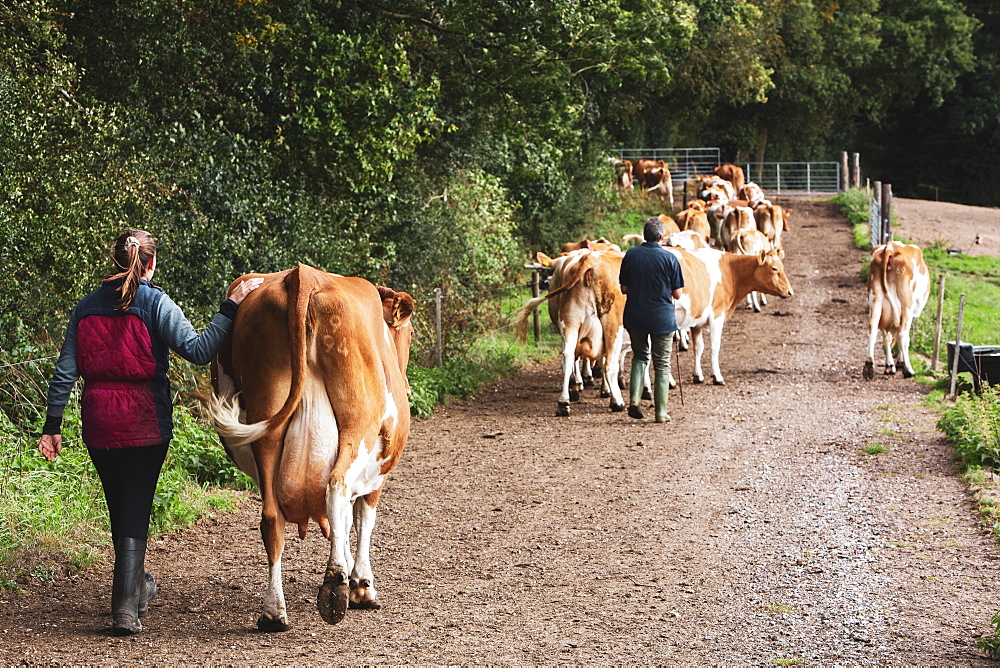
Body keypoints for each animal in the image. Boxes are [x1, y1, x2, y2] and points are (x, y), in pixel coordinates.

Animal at [205, 262, 412, 632]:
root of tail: (303, 275)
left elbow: (345, 520)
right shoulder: (378, 472)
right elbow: (363, 518)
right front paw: (361, 585)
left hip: (266, 427)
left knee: (271, 518)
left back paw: (274, 613)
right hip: (358, 424)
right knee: (337, 485)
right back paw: (334, 587)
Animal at [516, 250, 624, 414]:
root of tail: (590, 258)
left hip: (570, 322)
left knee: (567, 356)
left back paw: (564, 401)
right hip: (613, 324)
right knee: (609, 364)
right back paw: (617, 402)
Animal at [668, 248, 792, 384]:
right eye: (774, 268)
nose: (790, 291)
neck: (730, 270)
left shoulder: (697, 319)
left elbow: (698, 347)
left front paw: (698, 375)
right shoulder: (717, 314)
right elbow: (715, 346)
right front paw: (717, 377)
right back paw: (669, 382)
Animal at [860, 240, 928, 378]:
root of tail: (890, 247)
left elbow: (886, 336)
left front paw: (890, 365)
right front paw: (899, 363)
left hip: (876, 298)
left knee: (872, 328)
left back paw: (869, 365)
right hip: (907, 303)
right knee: (903, 334)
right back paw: (909, 370)